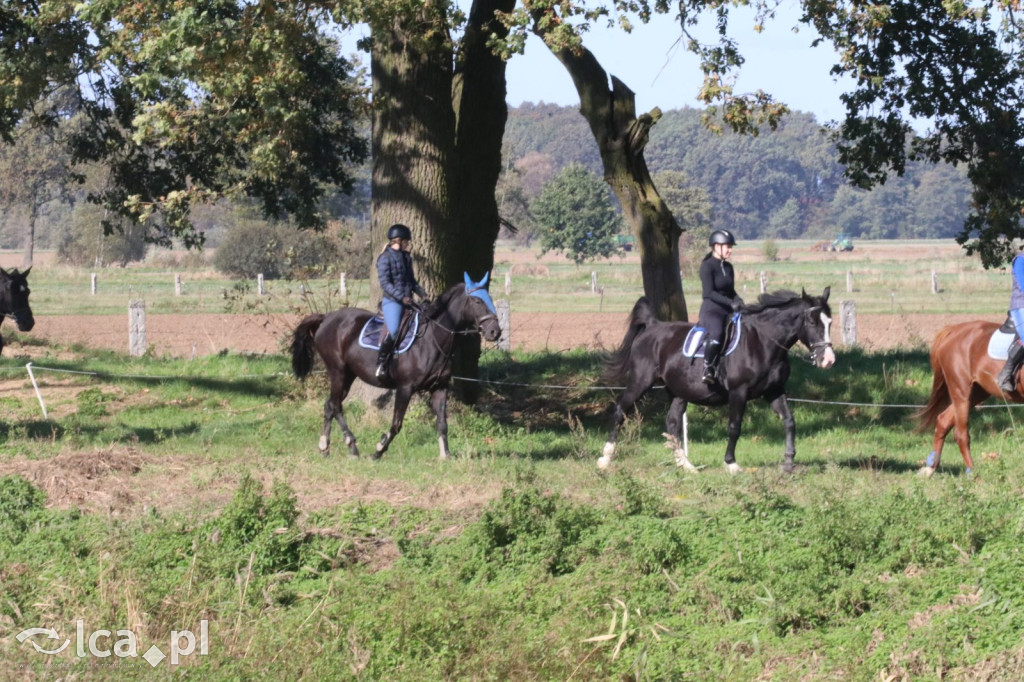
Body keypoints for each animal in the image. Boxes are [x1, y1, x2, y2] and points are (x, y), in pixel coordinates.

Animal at [290, 274, 501, 458]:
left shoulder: (440, 387)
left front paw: (445, 455)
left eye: (490, 298)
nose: (495, 332)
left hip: (348, 375)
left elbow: (442, 423)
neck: (433, 339)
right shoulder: (405, 388)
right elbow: (396, 424)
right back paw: (352, 444)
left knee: (330, 405)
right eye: (477, 302)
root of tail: (326, 318)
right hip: (338, 371)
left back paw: (324, 446)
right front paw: (378, 450)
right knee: (335, 405)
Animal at [598, 286, 831, 473]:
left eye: (829, 322)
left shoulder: (774, 391)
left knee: (672, 422)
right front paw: (731, 463)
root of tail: (653, 326)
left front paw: (789, 462)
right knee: (620, 411)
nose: (828, 360)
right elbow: (734, 427)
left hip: (679, 391)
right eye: (812, 322)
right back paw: (605, 458)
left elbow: (789, 421)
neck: (763, 341)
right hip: (641, 381)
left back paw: (687, 466)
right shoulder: (739, 392)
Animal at [917, 319, 1019, 473]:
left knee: (943, 421)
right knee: (961, 434)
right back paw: (973, 473)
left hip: (976, 392)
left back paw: (931, 467)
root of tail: (953, 330)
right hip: (961, 391)